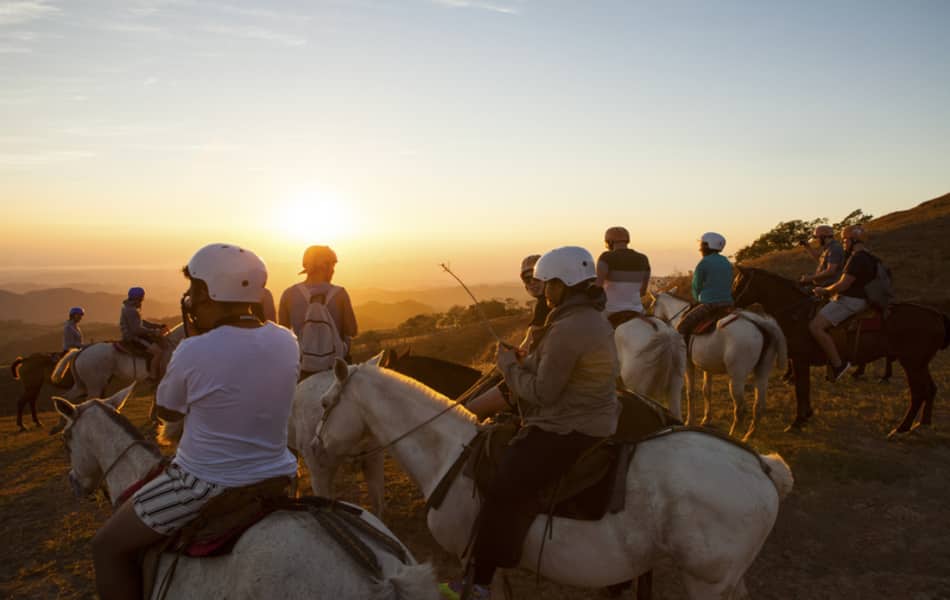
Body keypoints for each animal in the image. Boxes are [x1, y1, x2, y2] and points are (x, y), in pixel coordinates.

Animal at [314, 358, 796, 596]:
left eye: (323, 403)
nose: (315, 446)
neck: (449, 453)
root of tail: (760, 464)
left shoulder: (475, 555)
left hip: (705, 581)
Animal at [656, 294, 788, 440]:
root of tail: (761, 323)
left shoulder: (687, 365)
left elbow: (690, 393)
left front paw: (689, 421)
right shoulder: (707, 368)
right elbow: (706, 391)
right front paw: (706, 419)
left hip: (737, 379)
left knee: (740, 409)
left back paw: (734, 434)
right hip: (762, 373)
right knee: (759, 406)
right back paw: (748, 436)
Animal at [732, 268, 948, 436]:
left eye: (738, 283)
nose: (729, 304)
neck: (797, 313)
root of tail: (937, 316)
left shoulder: (801, 360)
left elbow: (801, 389)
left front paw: (797, 421)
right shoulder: (801, 361)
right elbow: (804, 389)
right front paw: (806, 416)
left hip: (912, 363)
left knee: (919, 392)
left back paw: (902, 427)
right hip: (920, 364)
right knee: (930, 389)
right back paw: (922, 423)